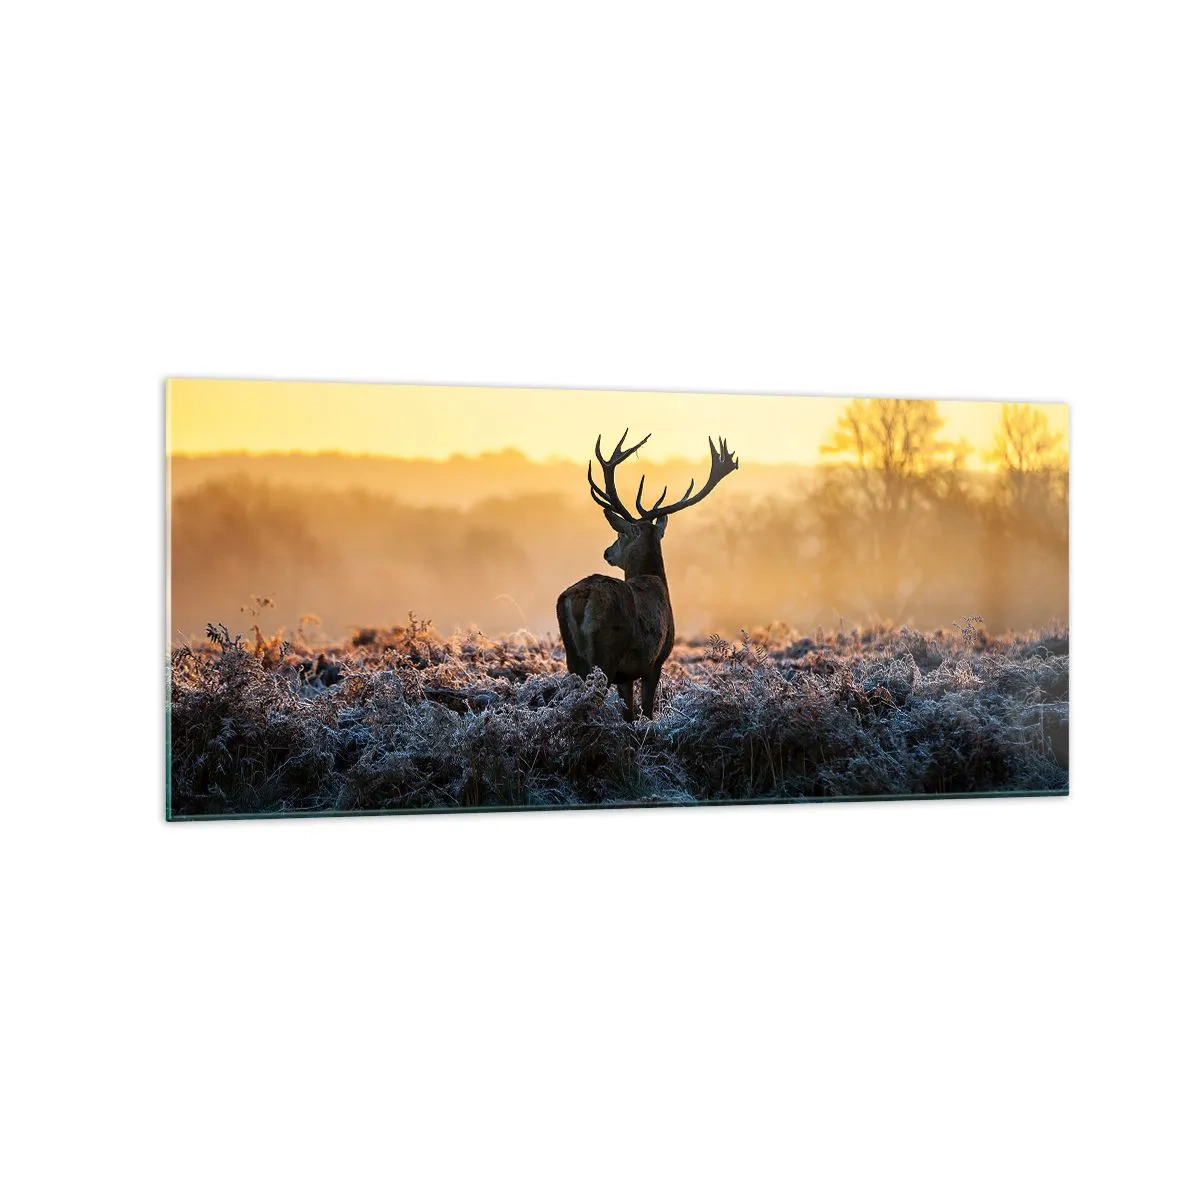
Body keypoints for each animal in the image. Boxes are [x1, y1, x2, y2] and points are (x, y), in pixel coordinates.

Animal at [556, 430, 739, 720]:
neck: (655, 579)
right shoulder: (655, 661)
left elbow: (630, 714)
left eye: (619, 535)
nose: (607, 552)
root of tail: (580, 598)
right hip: (606, 654)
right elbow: (647, 712)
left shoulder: (628, 675)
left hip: (572, 657)